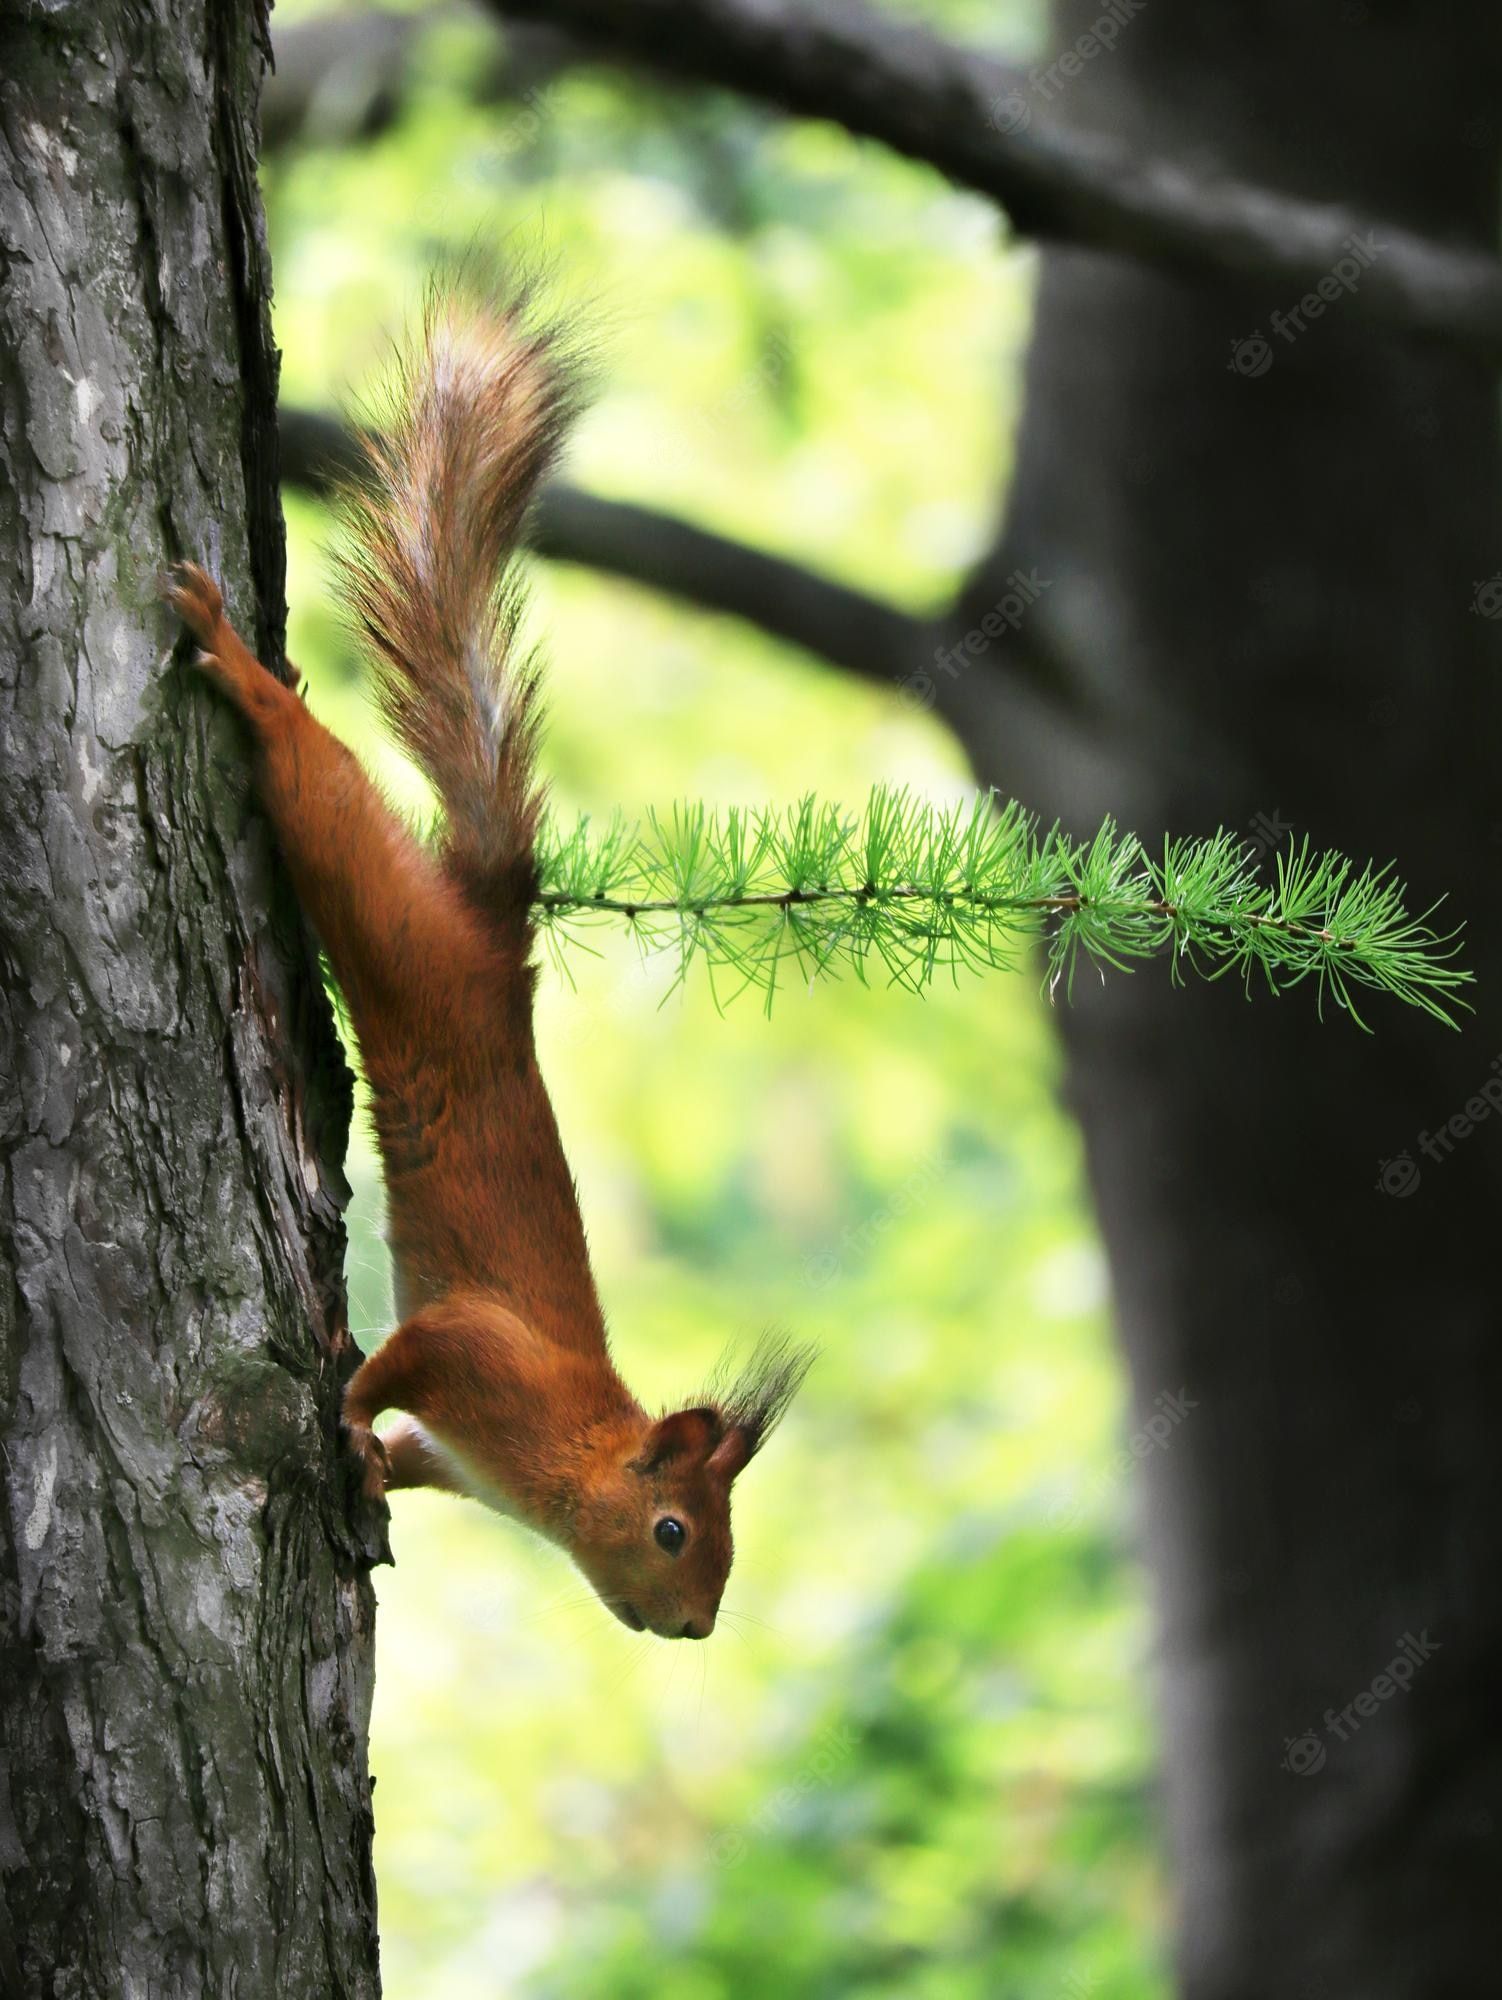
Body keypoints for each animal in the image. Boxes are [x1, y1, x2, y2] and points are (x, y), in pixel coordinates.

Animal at [164, 282, 811, 1640]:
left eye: (722, 1550)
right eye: (674, 1530)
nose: (695, 1626)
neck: (566, 1451)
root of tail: (491, 933)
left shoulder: (465, 1450)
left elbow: (414, 1447)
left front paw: (376, 1473)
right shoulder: (476, 1352)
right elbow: (401, 1361)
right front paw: (349, 1412)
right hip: (378, 904)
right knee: (310, 774)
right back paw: (243, 665)